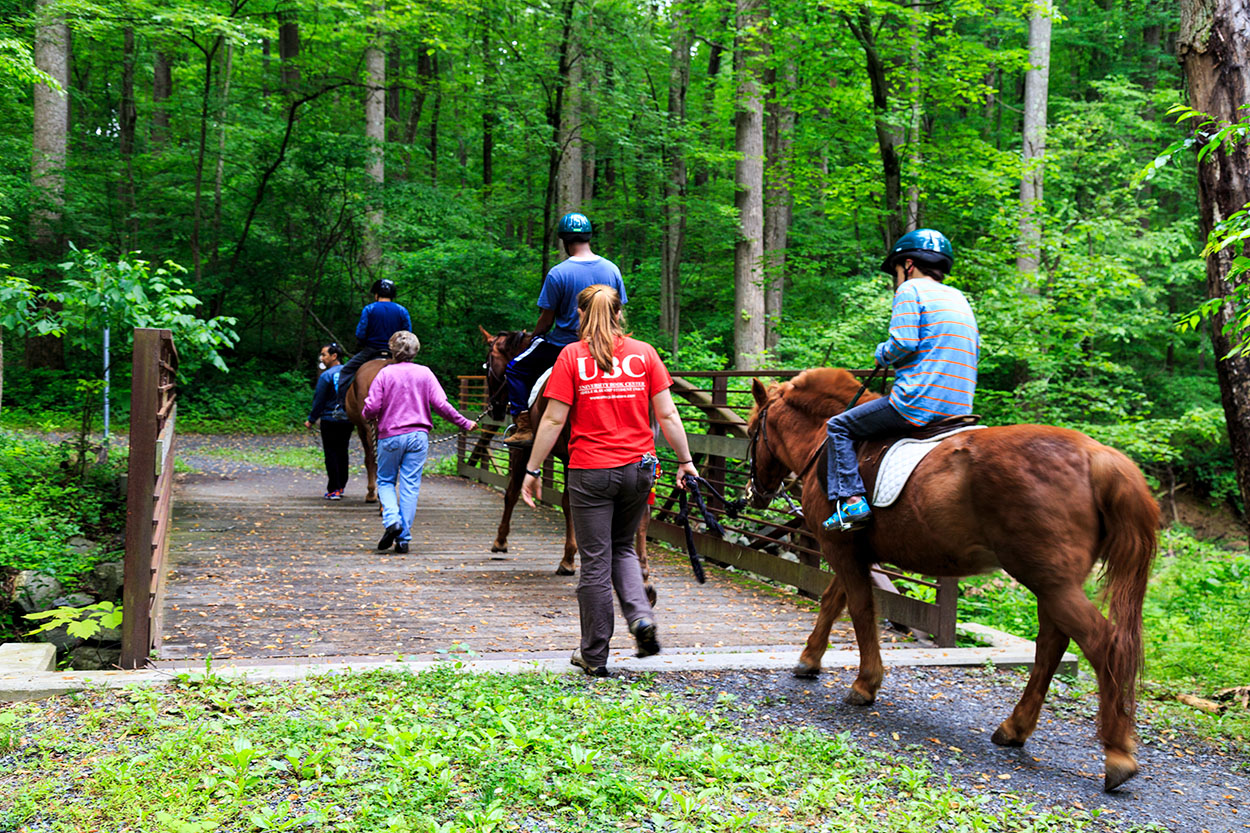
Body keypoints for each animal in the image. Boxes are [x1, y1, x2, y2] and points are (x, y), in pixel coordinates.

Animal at [477, 325, 655, 597]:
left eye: (488, 365)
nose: (495, 408)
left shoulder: (527, 451)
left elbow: (514, 492)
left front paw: (502, 540)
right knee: (642, 509)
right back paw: (643, 577)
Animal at [745, 367, 1155, 790]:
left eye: (751, 431)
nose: (754, 493)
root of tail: (1097, 456)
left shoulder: (840, 548)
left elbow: (859, 610)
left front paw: (865, 684)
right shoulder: (855, 552)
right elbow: (833, 602)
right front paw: (809, 660)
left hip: (1051, 582)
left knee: (1103, 644)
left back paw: (1117, 753)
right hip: (1053, 584)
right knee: (1051, 645)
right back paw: (1016, 728)